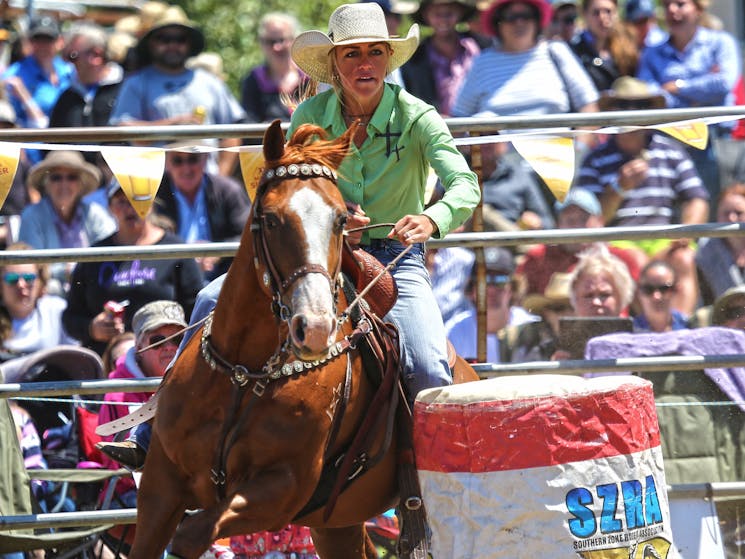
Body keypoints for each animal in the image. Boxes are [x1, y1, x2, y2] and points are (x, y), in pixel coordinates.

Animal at [127, 120, 476, 556]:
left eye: (341, 220)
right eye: (271, 219)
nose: (315, 327)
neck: (245, 372)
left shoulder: (283, 490)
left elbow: (191, 534)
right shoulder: (160, 486)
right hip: (336, 524)